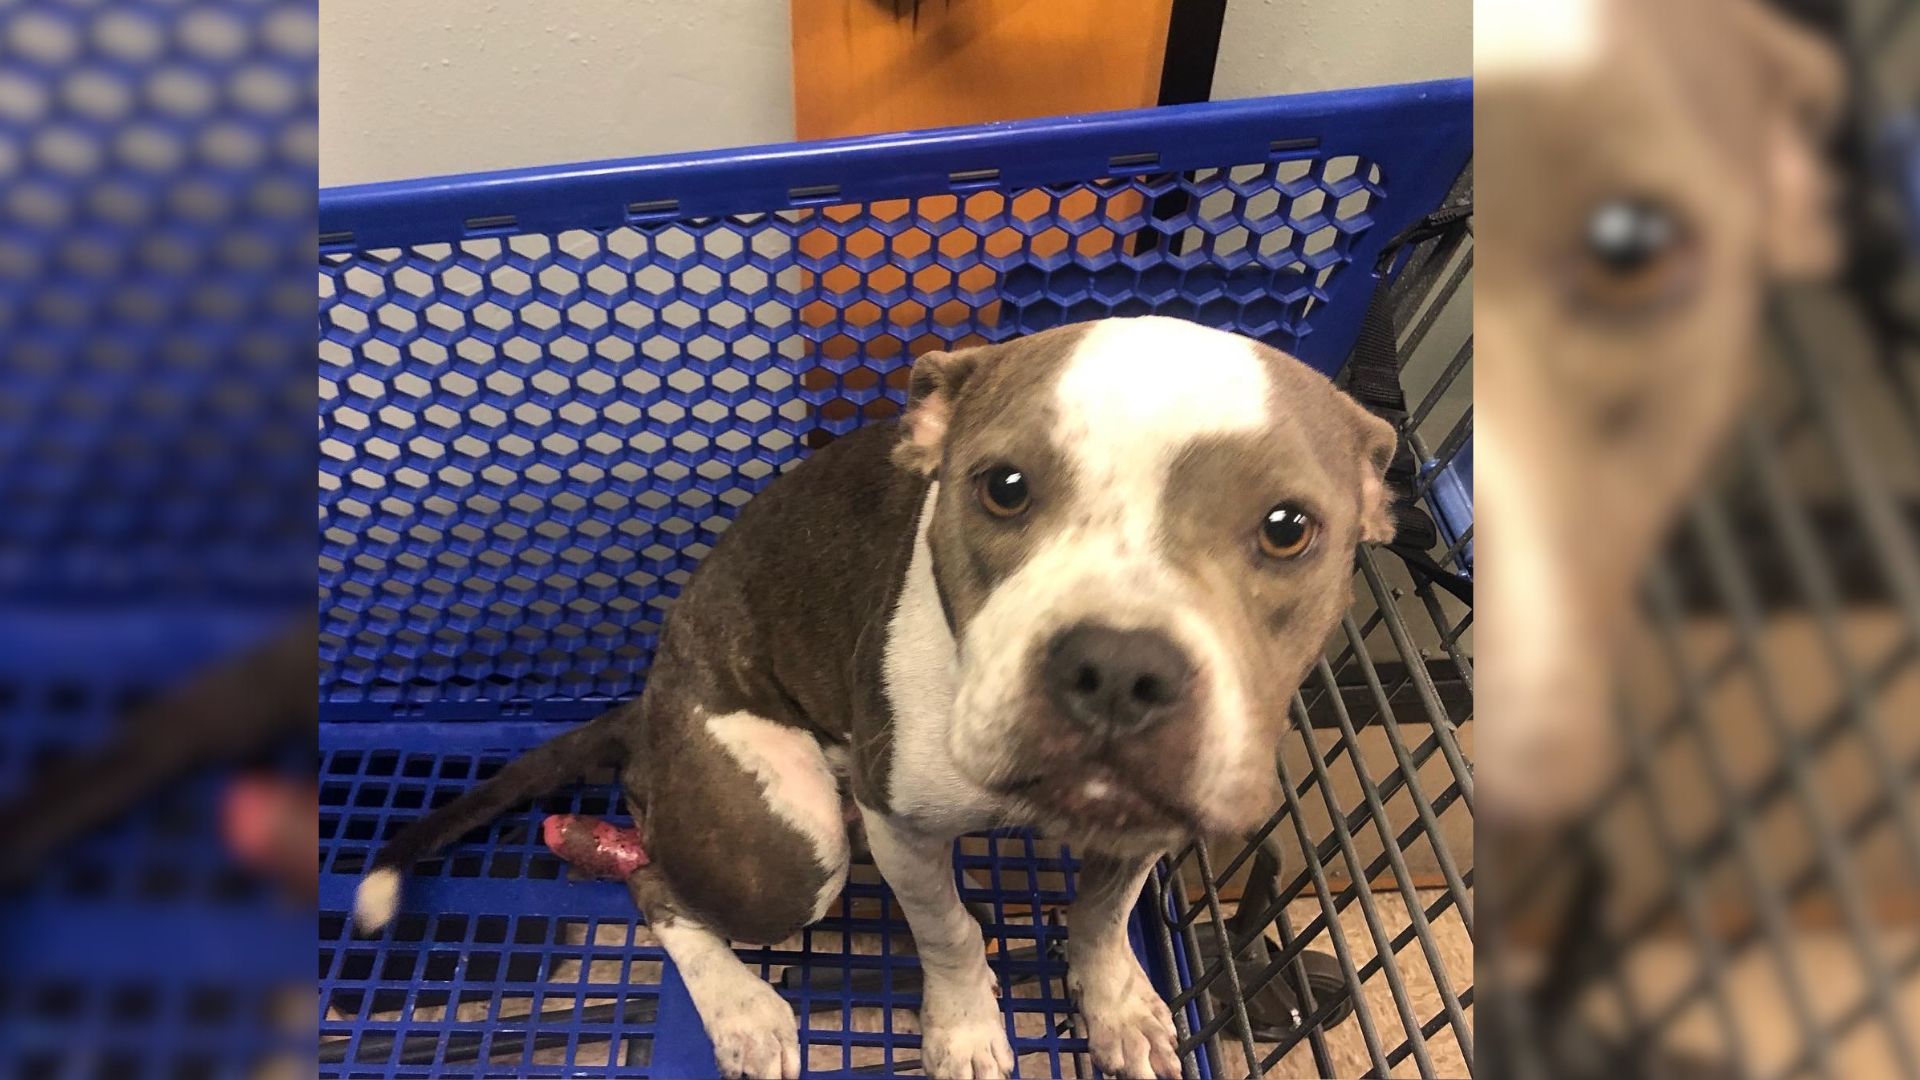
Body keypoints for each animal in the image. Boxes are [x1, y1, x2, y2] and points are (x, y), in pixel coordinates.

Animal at [349, 315, 1397, 1068]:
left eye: (1289, 527)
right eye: (1003, 486)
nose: (1117, 666)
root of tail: (646, 708)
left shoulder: (1148, 824)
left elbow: (1102, 916)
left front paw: (1115, 1006)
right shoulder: (906, 830)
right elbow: (950, 933)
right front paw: (967, 1030)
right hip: (787, 845)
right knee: (657, 882)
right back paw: (743, 1012)